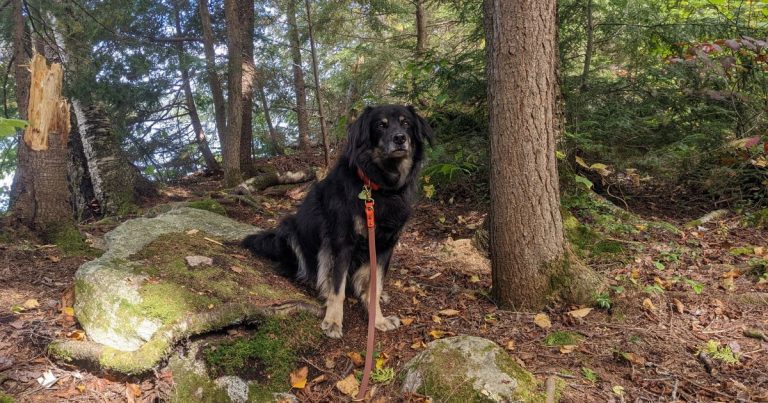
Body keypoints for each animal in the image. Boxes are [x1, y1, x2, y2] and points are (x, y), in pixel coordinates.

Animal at [242, 105, 432, 338]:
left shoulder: (385, 246)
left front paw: (378, 319)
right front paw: (333, 321)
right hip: (289, 228)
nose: (400, 138)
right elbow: (337, 288)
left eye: (406, 124)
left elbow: (375, 285)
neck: (379, 187)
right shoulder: (342, 242)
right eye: (381, 125)